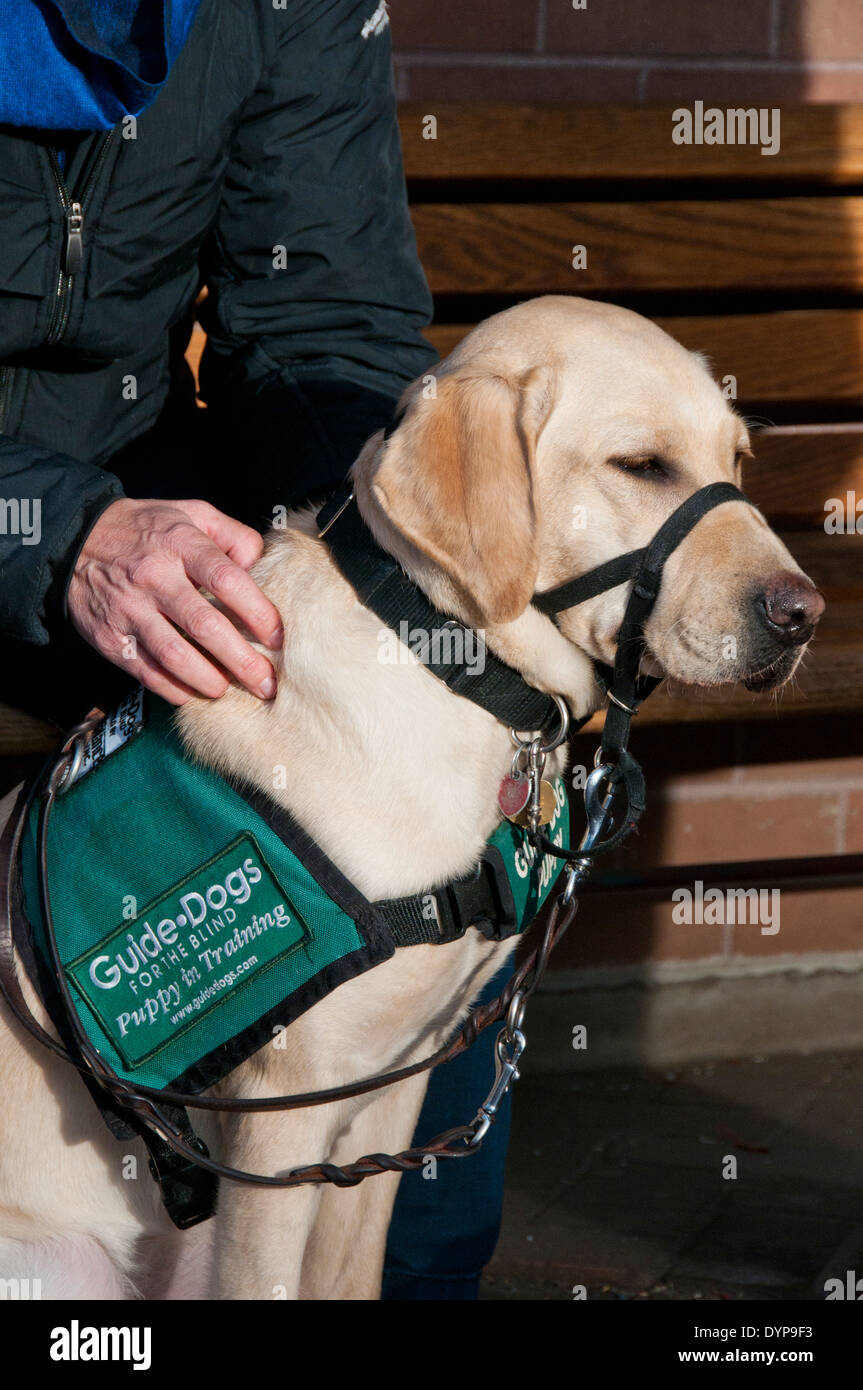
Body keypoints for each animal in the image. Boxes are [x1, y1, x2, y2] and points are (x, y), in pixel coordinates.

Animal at [0, 296, 822, 1301]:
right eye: (642, 466)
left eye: (735, 460)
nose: (803, 615)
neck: (447, 666)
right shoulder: (280, 1126)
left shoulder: (391, 1095)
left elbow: (351, 1275)